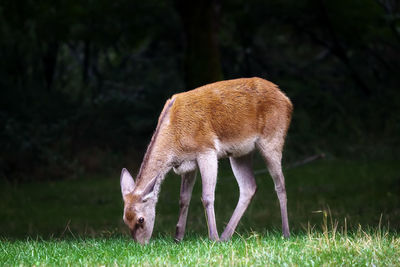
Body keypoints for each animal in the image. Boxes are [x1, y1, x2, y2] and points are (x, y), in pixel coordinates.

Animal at [120, 77, 292, 245]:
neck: (175, 141)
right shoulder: (187, 164)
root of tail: (287, 100)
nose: (141, 245)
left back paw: (286, 233)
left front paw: (212, 237)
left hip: (272, 139)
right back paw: (226, 236)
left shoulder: (207, 150)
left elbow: (207, 196)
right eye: (125, 219)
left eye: (141, 219)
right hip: (240, 152)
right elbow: (183, 199)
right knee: (249, 187)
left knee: (280, 184)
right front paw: (178, 238)